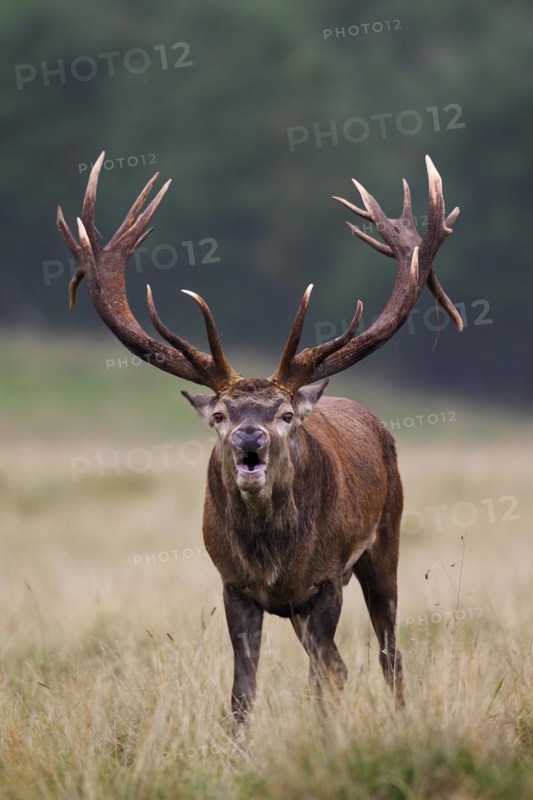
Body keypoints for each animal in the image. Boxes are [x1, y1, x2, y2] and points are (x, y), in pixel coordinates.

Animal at [56, 152, 462, 727]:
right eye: (220, 415)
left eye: (286, 414)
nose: (251, 437)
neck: (273, 556)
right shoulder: (235, 585)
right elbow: (242, 692)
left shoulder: (324, 579)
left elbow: (327, 674)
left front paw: (325, 734)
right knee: (341, 662)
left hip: (386, 538)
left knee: (385, 653)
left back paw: (401, 716)